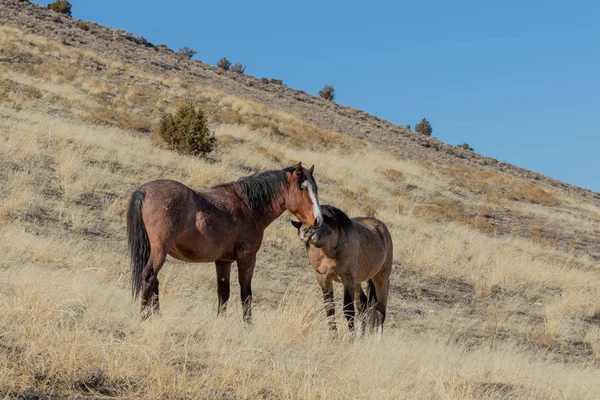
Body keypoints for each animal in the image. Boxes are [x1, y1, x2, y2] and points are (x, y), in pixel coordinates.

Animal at [127, 162, 324, 322]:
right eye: (302, 188)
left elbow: (224, 293)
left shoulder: (223, 261)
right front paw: (248, 326)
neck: (248, 207)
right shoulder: (247, 259)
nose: (318, 220)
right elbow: (246, 294)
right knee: (149, 277)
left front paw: (220, 321)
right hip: (160, 250)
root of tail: (144, 191)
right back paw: (144, 317)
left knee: (154, 281)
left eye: (315, 189)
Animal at [292, 206, 394, 334]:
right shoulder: (323, 278)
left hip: (380, 279)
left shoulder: (347, 279)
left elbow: (348, 310)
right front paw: (333, 336)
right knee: (363, 305)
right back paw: (361, 336)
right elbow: (329, 309)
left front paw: (351, 337)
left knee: (380, 311)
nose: (307, 231)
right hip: (358, 282)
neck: (329, 252)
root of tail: (382, 228)